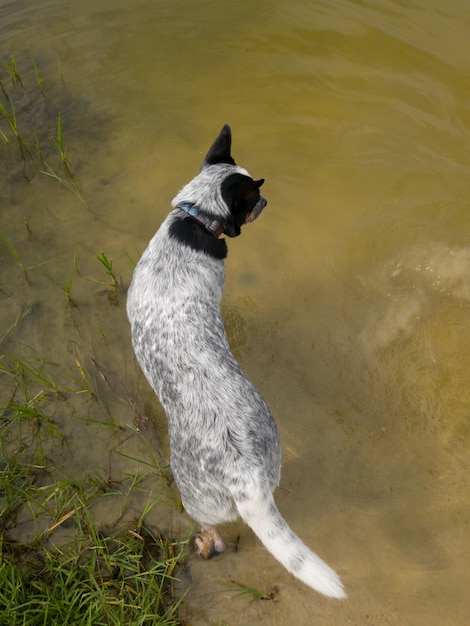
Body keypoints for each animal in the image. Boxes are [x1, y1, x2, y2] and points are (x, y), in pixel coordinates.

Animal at [126, 124, 346, 596]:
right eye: (253, 199)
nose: (267, 201)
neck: (196, 220)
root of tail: (246, 476)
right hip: (268, 462)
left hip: (195, 494)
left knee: (215, 533)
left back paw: (204, 544)